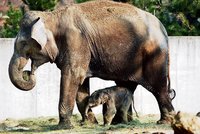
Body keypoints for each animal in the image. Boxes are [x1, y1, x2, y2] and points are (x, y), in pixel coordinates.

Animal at [8, 0, 173, 129]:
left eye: (23, 43)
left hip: (155, 55)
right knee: (126, 85)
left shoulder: (76, 41)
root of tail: (164, 30)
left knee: (158, 87)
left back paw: (164, 122)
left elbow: (72, 76)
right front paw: (89, 123)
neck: (52, 16)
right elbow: (81, 84)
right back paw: (120, 123)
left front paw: (64, 127)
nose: (28, 72)